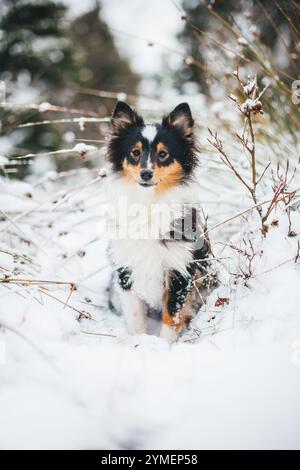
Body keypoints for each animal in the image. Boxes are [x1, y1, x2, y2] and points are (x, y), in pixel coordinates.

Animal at [105, 101, 216, 342]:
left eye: (163, 154)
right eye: (135, 153)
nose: (146, 174)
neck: (150, 202)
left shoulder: (179, 270)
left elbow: (171, 316)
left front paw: (164, 345)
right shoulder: (126, 268)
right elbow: (135, 316)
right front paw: (137, 341)